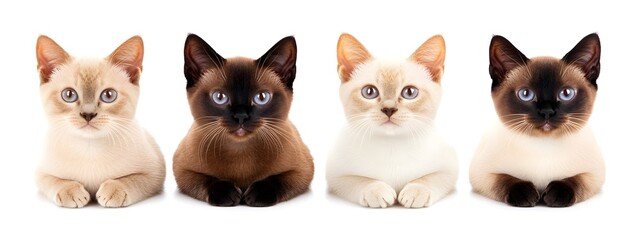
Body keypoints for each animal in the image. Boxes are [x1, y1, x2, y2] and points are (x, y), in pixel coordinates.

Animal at [34, 35, 165, 208]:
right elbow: (55, 181)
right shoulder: (41, 173)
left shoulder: (155, 173)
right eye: (69, 95)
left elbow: (131, 180)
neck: (90, 149)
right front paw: (71, 192)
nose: (88, 114)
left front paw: (114, 190)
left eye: (109, 95)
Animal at [174, 33, 314, 206]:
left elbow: (276, 180)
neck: (240, 152)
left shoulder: (302, 170)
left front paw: (255, 195)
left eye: (261, 97)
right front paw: (228, 194)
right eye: (219, 97)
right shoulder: (182, 170)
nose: (241, 116)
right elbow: (208, 180)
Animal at [328, 33, 458, 208]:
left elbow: (429, 179)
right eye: (369, 92)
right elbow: (360, 180)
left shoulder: (449, 169)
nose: (389, 109)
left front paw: (416, 191)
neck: (392, 146)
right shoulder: (336, 175)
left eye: (410, 92)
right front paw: (376, 190)